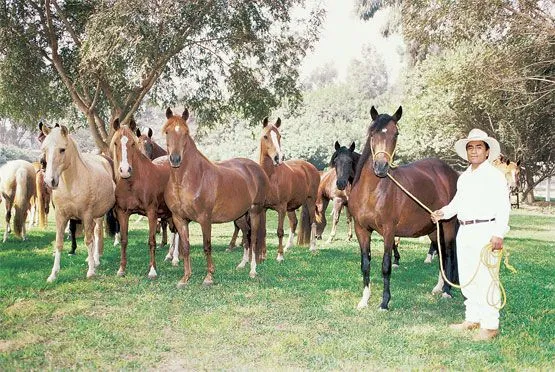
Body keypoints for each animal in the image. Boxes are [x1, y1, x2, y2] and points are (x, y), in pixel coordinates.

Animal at [41, 125, 116, 282]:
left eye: (62, 149)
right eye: (45, 149)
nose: (50, 181)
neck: (72, 184)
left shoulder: (86, 215)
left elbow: (88, 240)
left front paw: (91, 271)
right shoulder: (61, 216)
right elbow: (59, 243)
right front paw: (53, 275)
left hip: (98, 215)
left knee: (97, 233)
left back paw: (96, 260)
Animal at [110, 120, 175, 278]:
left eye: (132, 143)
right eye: (115, 143)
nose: (125, 170)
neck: (132, 183)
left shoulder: (151, 213)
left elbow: (151, 241)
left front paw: (152, 270)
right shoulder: (123, 213)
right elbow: (124, 240)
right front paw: (121, 269)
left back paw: (175, 258)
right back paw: (171, 256)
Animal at [162, 107, 270, 284]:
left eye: (186, 132)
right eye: (166, 131)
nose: (175, 159)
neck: (190, 179)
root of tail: (256, 168)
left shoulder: (205, 219)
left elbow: (207, 246)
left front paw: (209, 277)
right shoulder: (179, 219)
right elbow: (185, 247)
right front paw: (185, 277)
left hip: (255, 211)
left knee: (253, 238)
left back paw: (253, 271)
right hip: (240, 216)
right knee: (246, 235)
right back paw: (242, 264)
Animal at [255, 117, 320, 260]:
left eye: (279, 136)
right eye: (265, 136)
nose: (278, 157)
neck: (270, 176)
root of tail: (310, 167)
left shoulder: (281, 208)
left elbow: (280, 231)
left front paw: (279, 256)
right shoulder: (263, 208)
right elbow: (264, 231)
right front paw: (263, 255)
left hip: (310, 200)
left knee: (313, 222)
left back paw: (312, 247)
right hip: (291, 207)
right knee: (294, 222)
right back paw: (287, 247)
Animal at [348, 106, 460, 310]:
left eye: (396, 133)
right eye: (372, 133)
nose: (381, 167)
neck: (372, 192)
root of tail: (451, 173)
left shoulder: (388, 231)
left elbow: (386, 266)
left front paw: (384, 302)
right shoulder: (362, 230)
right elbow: (365, 264)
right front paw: (364, 300)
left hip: (448, 225)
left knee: (449, 254)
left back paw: (447, 291)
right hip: (434, 228)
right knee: (441, 253)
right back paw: (438, 287)